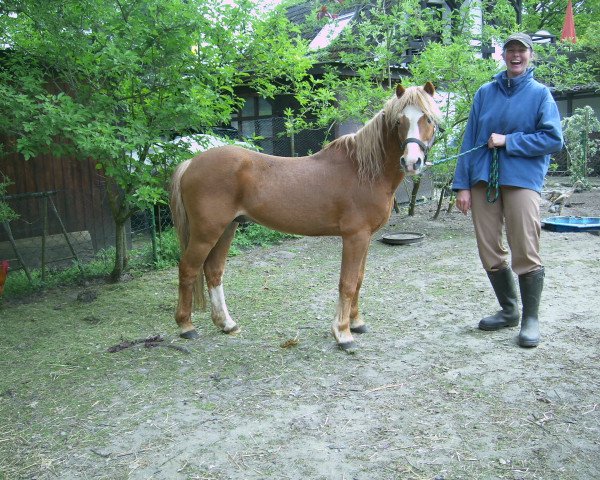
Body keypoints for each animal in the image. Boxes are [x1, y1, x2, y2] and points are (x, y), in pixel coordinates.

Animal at [169, 80, 440, 346]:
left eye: (428, 118)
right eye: (399, 121)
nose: (412, 162)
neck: (363, 170)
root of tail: (191, 163)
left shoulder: (366, 237)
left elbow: (359, 280)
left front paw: (357, 323)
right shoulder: (355, 236)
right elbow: (348, 283)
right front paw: (343, 333)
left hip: (227, 228)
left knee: (214, 271)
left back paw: (227, 324)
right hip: (206, 232)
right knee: (188, 269)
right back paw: (186, 326)